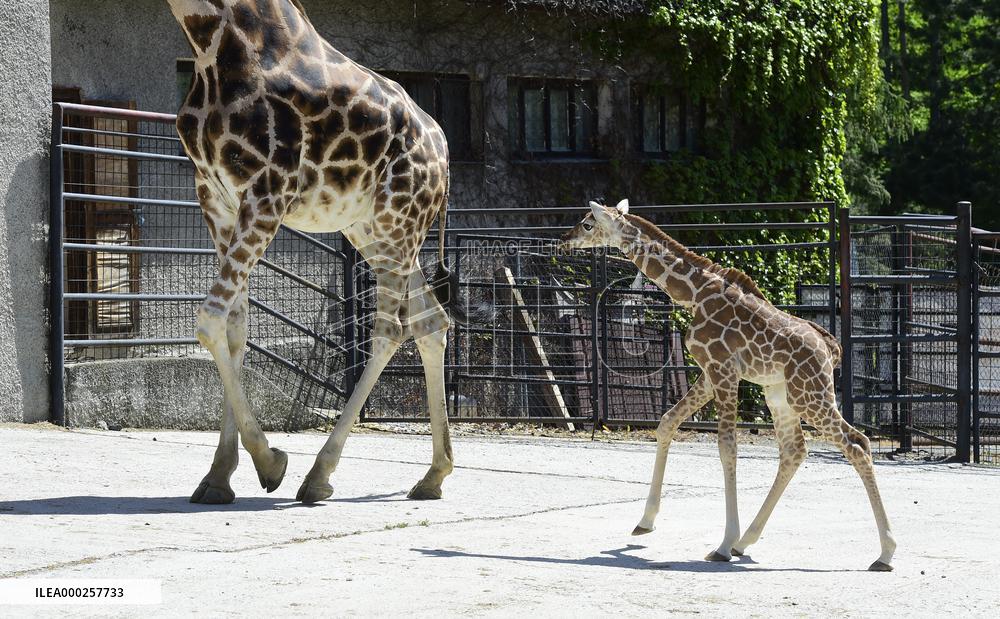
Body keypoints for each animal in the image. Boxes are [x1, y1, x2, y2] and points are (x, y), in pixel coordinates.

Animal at [168, 0, 462, 505]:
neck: (208, 43)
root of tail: (444, 152)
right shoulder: (216, 196)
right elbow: (234, 329)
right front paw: (219, 476)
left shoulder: (268, 190)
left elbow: (208, 320)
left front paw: (270, 461)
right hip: (376, 232)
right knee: (431, 321)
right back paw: (434, 475)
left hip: (398, 220)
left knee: (391, 329)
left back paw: (319, 474)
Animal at [561, 200, 896, 571]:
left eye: (588, 224)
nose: (564, 241)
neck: (694, 293)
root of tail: (830, 348)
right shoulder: (709, 374)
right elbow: (667, 422)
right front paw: (645, 522)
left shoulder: (723, 369)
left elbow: (726, 447)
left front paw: (721, 544)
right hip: (779, 395)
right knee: (795, 450)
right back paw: (746, 541)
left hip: (809, 395)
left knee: (858, 443)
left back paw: (885, 553)